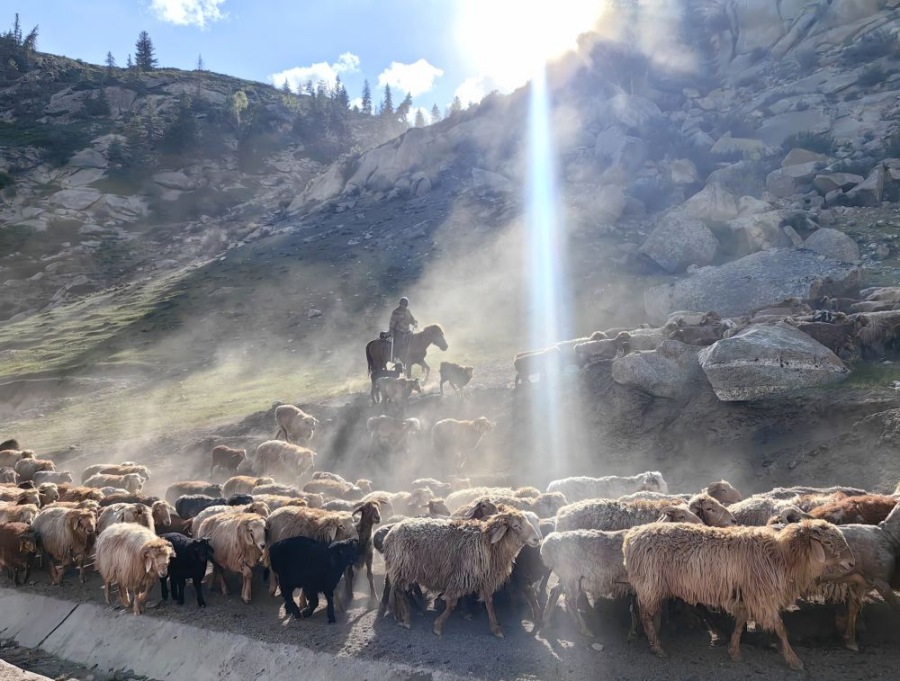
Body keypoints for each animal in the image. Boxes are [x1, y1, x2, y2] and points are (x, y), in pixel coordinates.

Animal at [380, 510, 540, 636]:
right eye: (516, 526)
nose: (537, 539)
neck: (488, 544)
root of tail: (392, 531)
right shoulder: (460, 577)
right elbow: (452, 603)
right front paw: (438, 626)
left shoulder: (484, 578)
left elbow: (489, 602)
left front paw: (496, 629)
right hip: (402, 568)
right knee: (400, 591)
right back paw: (406, 619)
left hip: (403, 569)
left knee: (399, 590)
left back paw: (402, 616)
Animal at [624, 520, 856, 668]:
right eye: (828, 542)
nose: (852, 563)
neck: (783, 557)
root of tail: (631, 537)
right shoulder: (763, 598)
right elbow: (781, 629)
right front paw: (794, 660)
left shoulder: (747, 595)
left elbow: (740, 622)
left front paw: (734, 651)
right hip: (650, 584)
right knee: (645, 614)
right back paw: (657, 647)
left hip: (649, 586)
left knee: (643, 610)